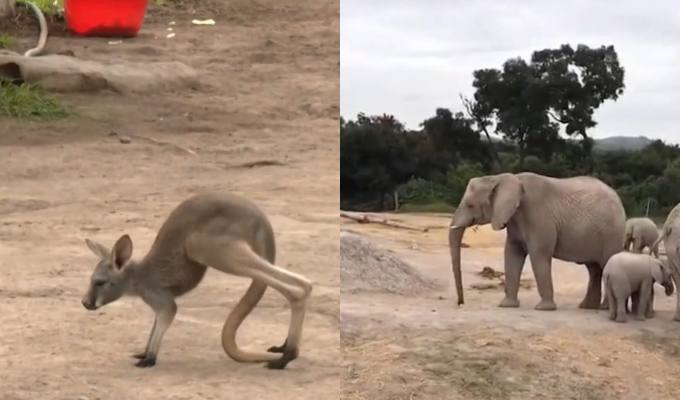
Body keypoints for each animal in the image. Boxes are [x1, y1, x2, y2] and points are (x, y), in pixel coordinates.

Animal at [448, 172, 626, 311]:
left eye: (470, 205)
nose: (460, 303)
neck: (501, 178)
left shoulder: (538, 217)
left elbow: (538, 255)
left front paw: (544, 308)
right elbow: (512, 254)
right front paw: (507, 305)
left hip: (613, 234)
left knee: (605, 265)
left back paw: (604, 308)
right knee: (593, 269)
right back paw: (587, 307)